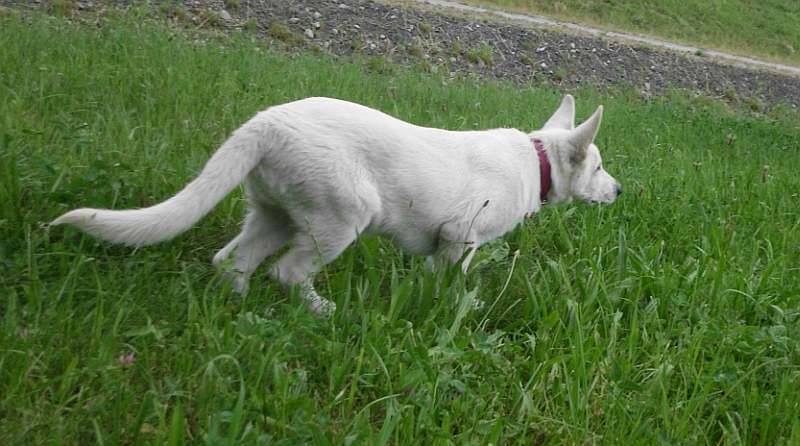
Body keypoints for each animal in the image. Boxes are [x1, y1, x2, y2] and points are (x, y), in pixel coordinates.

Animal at [53, 94, 620, 318]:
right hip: (342, 216)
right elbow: (451, 279)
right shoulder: (460, 235)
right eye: (596, 168)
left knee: (231, 260)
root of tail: (265, 123)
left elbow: (433, 276)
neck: (535, 158)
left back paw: (237, 309)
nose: (618, 192)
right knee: (285, 272)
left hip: (275, 215)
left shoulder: (446, 242)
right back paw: (323, 311)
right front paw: (455, 306)